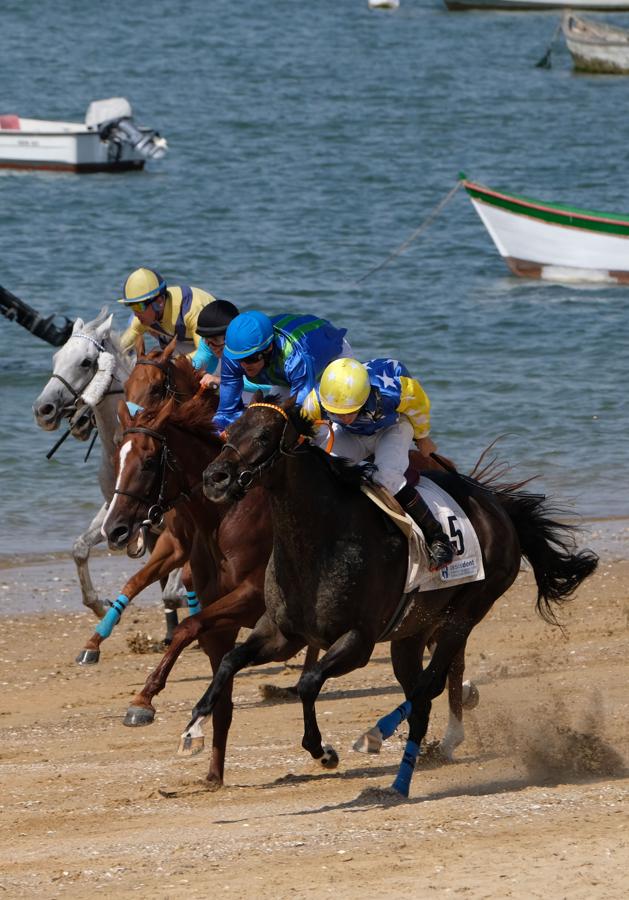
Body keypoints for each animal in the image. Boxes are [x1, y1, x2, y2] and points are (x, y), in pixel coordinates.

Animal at [32, 306, 184, 624]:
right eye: (56, 357)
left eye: (86, 362)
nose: (43, 410)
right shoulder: (114, 510)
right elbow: (79, 548)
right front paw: (100, 605)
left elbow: (175, 587)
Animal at [184, 394, 596, 796]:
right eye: (230, 430)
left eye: (264, 436)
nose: (214, 478)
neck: (321, 541)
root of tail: (498, 506)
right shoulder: (282, 634)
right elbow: (229, 661)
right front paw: (193, 728)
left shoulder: (358, 640)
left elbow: (308, 682)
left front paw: (323, 751)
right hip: (411, 633)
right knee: (421, 695)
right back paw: (402, 775)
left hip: (465, 613)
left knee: (429, 685)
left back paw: (377, 738)